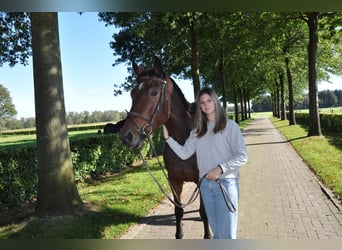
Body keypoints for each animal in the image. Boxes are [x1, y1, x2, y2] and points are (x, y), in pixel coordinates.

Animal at [119, 55, 211, 239]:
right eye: (132, 93)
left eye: (154, 92)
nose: (127, 136)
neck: (184, 142)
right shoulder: (174, 180)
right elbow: (179, 212)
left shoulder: (201, 179)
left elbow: (204, 213)